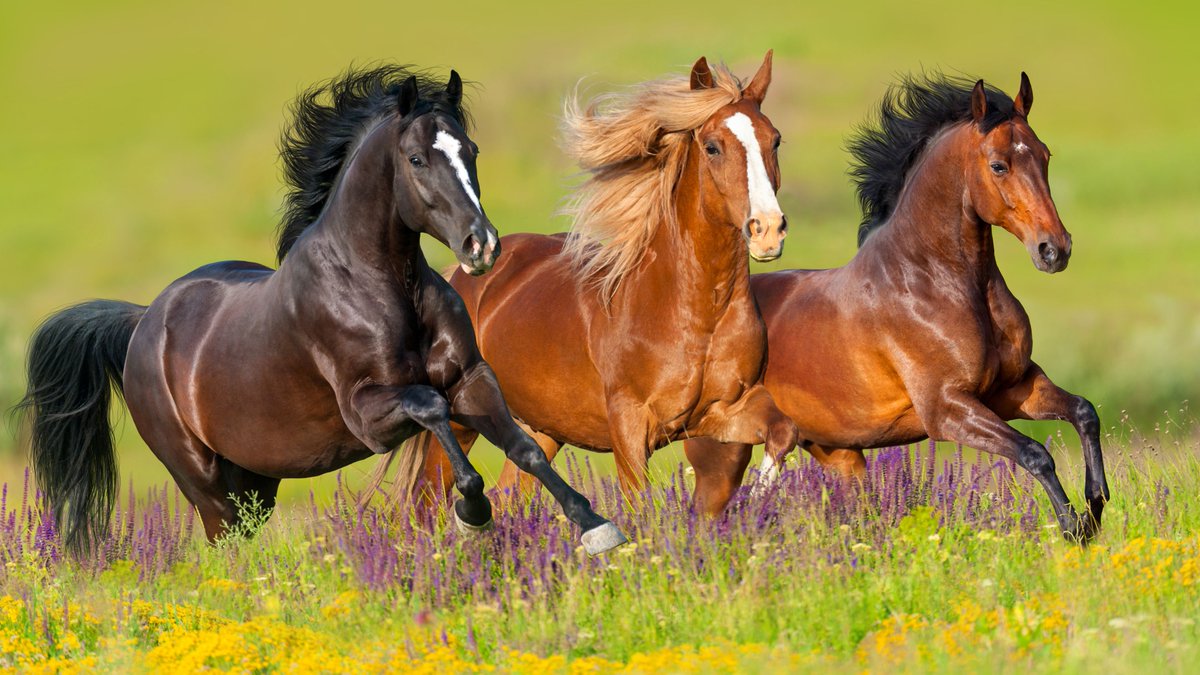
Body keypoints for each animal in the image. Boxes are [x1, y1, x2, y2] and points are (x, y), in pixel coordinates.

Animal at [16, 65, 626, 556]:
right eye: (416, 158)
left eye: (471, 151)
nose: (482, 246)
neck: (382, 287)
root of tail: (144, 322)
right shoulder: (369, 414)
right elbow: (431, 408)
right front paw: (473, 513)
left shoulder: (472, 380)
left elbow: (526, 449)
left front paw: (597, 527)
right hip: (203, 482)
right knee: (225, 547)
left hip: (255, 481)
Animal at [384, 52, 799, 515]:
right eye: (712, 147)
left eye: (774, 140)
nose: (767, 230)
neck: (695, 312)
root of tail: (462, 276)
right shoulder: (630, 426)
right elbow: (640, 507)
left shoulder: (723, 411)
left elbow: (783, 431)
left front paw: (755, 503)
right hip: (462, 418)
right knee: (427, 501)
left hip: (542, 429)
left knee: (511, 494)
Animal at [683, 72, 1110, 542]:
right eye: (999, 165)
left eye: (1045, 155)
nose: (1054, 249)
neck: (934, 282)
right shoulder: (947, 410)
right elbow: (1035, 453)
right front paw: (1074, 528)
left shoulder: (1013, 388)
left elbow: (1084, 412)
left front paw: (1096, 504)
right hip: (722, 454)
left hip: (839, 454)